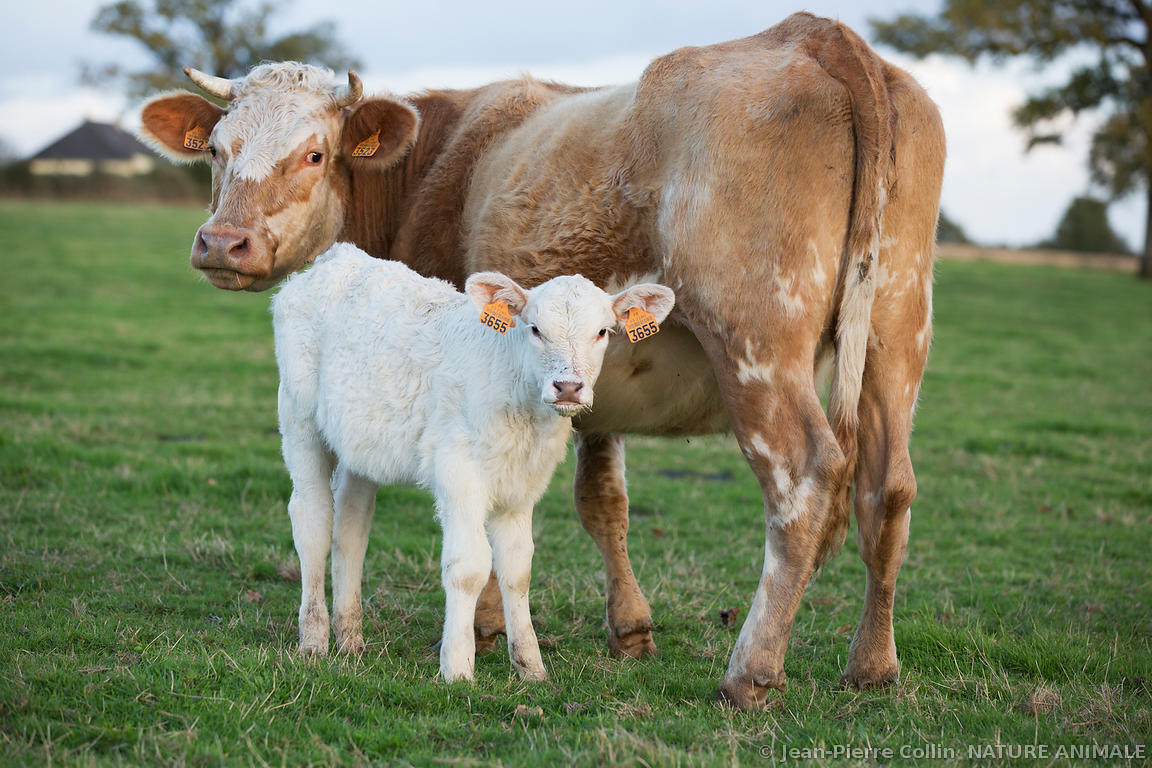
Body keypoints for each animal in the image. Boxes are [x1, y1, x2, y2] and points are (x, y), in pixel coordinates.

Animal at [138, 12, 945, 709]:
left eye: (313, 154)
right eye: (216, 150)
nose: (223, 242)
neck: (434, 163)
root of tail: (817, 35)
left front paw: (484, 630)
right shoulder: (586, 387)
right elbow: (602, 502)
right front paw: (627, 630)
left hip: (757, 346)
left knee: (805, 479)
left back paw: (750, 672)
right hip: (897, 336)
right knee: (890, 489)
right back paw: (873, 665)